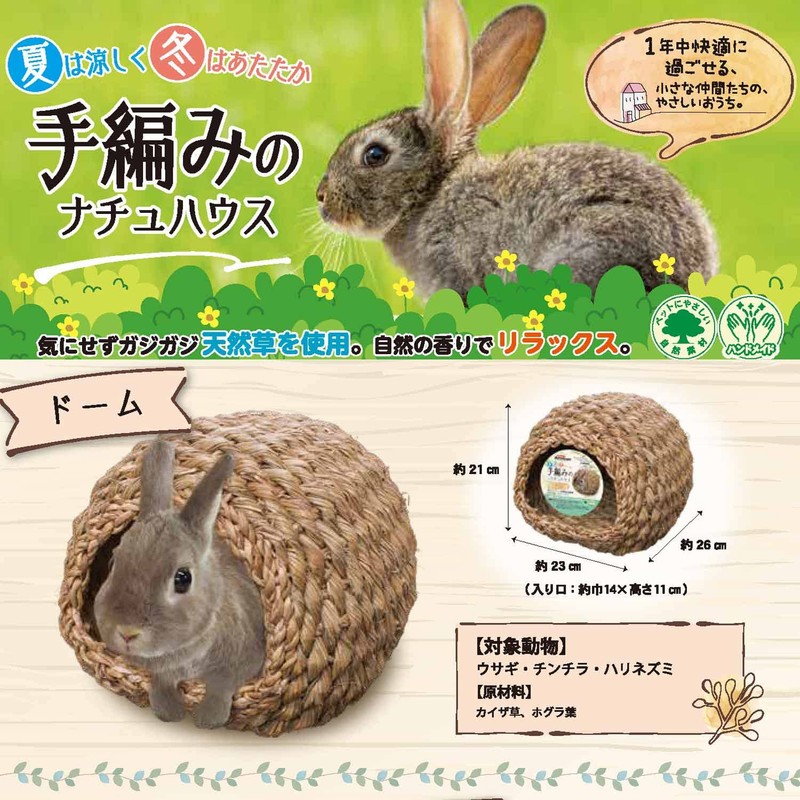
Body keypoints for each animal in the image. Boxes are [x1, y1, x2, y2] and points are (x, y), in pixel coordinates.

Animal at [94, 439, 265, 729]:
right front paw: (168, 711)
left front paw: (208, 719)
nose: (127, 632)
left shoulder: (246, 656)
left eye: (183, 578)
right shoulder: (162, 671)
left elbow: (222, 684)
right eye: (113, 561)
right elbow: (162, 680)